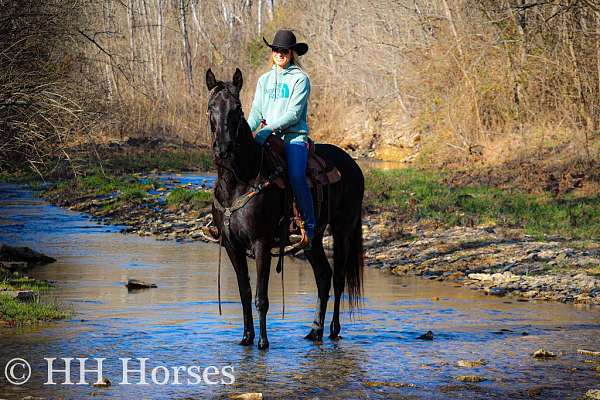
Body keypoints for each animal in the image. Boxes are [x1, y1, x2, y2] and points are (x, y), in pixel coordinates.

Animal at [206, 67, 366, 348]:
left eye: (237, 108)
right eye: (210, 107)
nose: (223, 148)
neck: (240, 179)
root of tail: (353, 165)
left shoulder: (261, 243)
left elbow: (261, 298)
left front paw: (263, 343)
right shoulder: (231, 245)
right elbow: (245, 293)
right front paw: (246, 338)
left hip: (343, 230)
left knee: (338, 279)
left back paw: (333, 330)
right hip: (312, 238)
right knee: (323, 276)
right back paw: (315, 331)